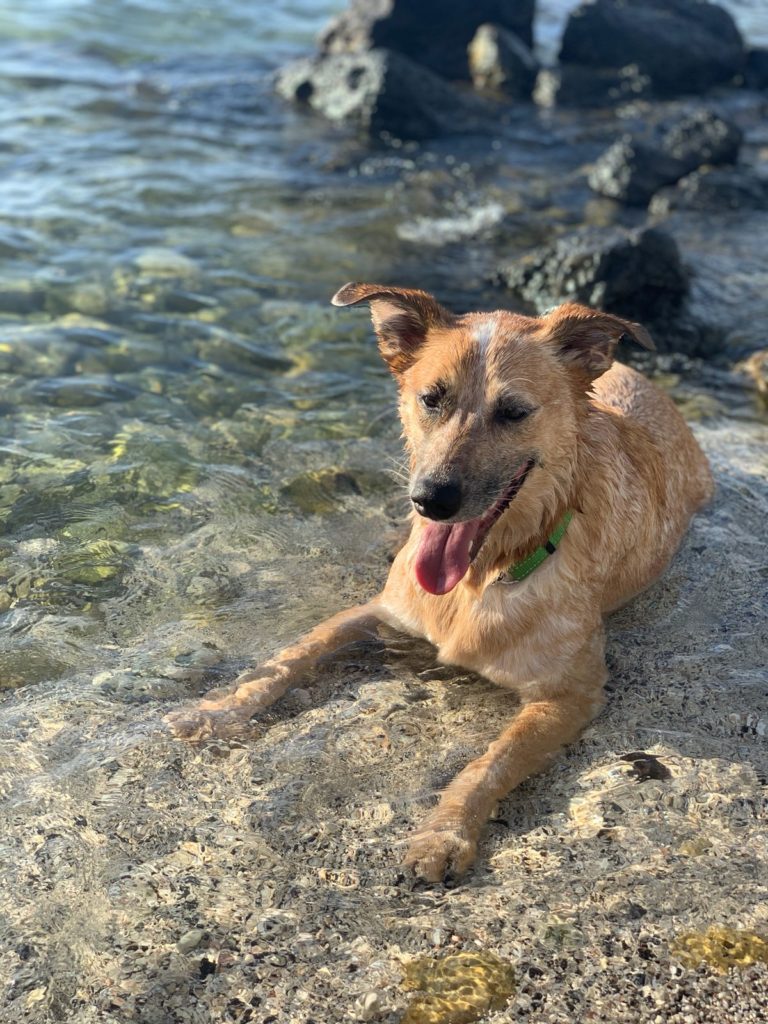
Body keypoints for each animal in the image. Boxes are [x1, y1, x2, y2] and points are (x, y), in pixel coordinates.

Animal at [167, 284, 716, 884]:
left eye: (513, 412)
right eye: (431, 399)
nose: (430, 500)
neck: (482, 577)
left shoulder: (567, 695)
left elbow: (491, 762)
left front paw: (444, 834)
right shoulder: (378, 613)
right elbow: (289, 657)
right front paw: (217, 711)